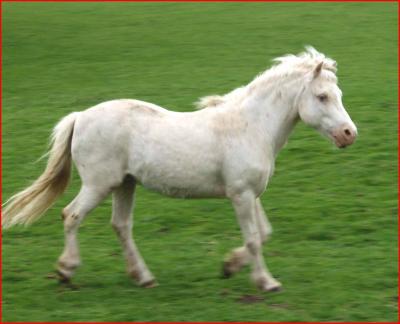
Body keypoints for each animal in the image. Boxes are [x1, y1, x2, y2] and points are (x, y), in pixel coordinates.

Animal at [0, 47, 356, 292]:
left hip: (125, 184)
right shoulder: (240, 194)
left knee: (121, 226)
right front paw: (266, 282)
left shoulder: (250, 193)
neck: (251, 126)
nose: (349, 134)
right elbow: (255, 239)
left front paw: (229, 266)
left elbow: (264, 233)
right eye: (322, 97)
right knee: (71, 215)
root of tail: (80, 116)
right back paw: (66, 270)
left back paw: (143, 278)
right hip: (99, 184)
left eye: (338, 94)